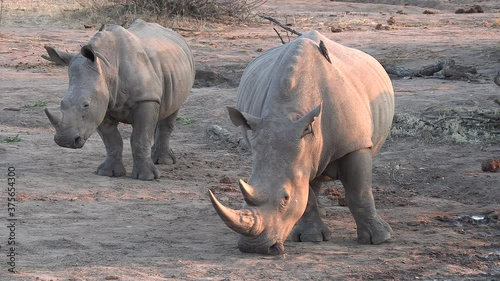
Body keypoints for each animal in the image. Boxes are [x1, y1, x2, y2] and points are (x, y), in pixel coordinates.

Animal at [44, 19, 194, 179]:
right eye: (62, 103)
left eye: (86, 104)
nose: (64, 141)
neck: (106, 67)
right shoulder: (102, 104)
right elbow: (112, 140)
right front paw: (108, 173)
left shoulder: (145, 99)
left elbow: (140, 138)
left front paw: (146, 177)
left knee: (172, 110)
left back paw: (164, 161)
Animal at [209, 30, 392, 254]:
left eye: (285, 198)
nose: (254, 248)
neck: (288, 114)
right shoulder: (299, 147)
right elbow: (306, 194)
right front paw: (310, 238)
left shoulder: (355, 144)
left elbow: (359, 191)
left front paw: (380, 238)